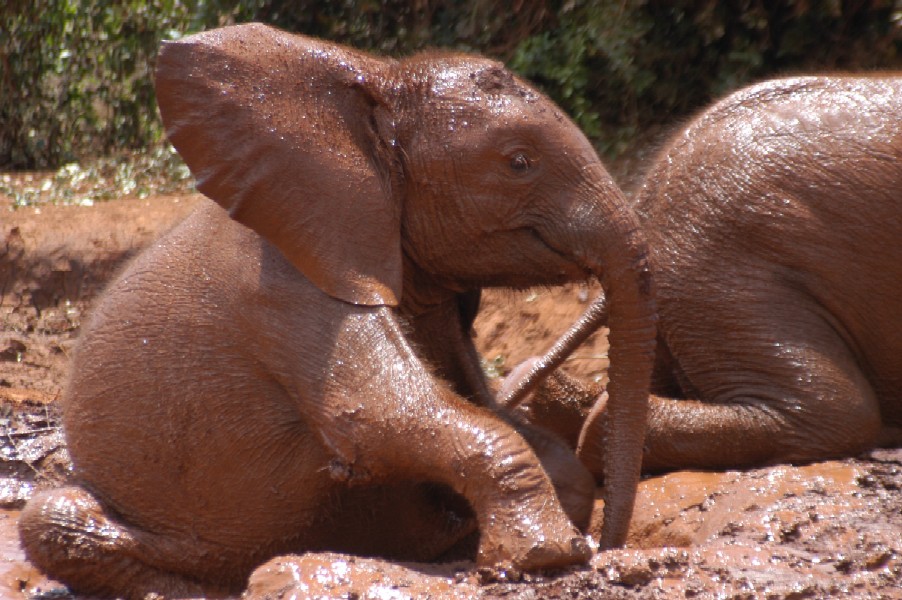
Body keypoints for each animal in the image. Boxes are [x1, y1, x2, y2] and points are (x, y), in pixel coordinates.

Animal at [19, 21, 656, 596]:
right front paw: (547, 556)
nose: (611, 547)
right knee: (50, 520)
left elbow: (480, 408)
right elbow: (382, 420)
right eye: (518, 162)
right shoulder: (291, 289)